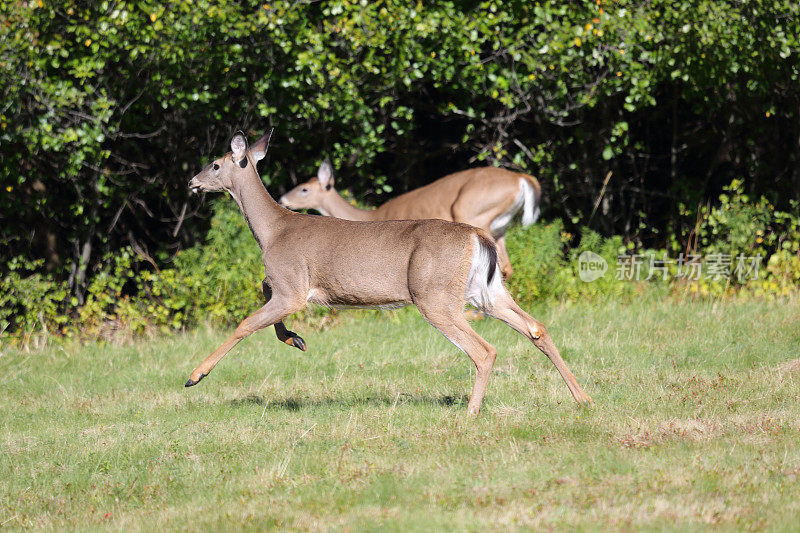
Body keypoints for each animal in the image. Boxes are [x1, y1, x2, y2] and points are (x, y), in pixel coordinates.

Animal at [278, 161, 540, 278]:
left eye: (303, 189)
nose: (282, 198)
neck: (371, 215)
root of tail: (520, 178)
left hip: (470, 211)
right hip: (500, 227)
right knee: (506, 267)